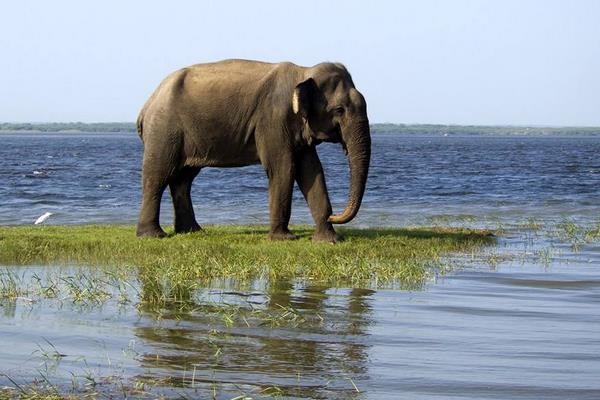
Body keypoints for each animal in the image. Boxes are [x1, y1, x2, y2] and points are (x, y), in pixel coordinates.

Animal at [136, 57, 370, 242]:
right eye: (339, 110)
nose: (334, 215)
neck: (304, 72)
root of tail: (146, 105)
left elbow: (311, 170)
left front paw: (330, 240)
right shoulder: (273, 120)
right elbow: (283, 167)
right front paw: (283, 239)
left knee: (183, 179)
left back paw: (192, 231)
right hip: (164, 130)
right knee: (158, 175)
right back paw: (153, 235)